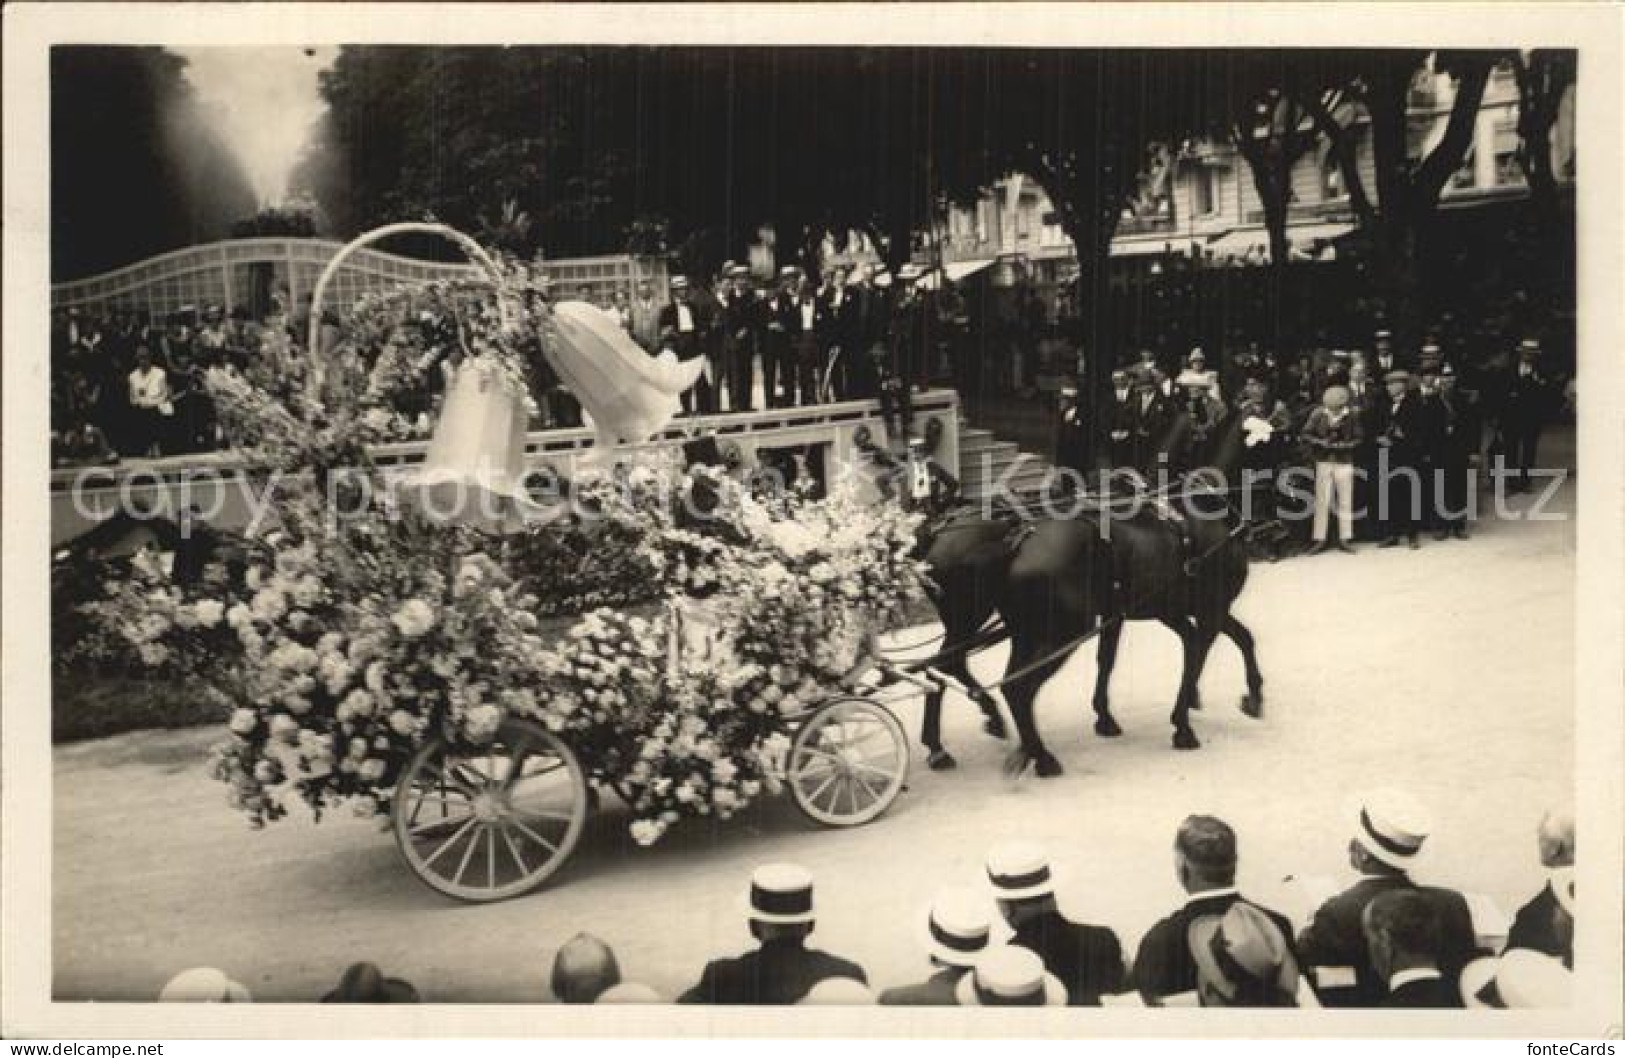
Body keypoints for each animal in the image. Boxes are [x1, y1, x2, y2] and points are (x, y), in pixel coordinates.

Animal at [923, 406, 1261, 776]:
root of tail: (1018, 540)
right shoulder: (1209, 610)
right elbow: (1201, 653)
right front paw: (1183, 723)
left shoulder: (1156, 613)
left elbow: (1227, 641)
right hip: (1056, 630)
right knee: (1011, 684)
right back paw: (1037, 753)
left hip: (1012, 628)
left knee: (943, 667)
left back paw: (950, 744)